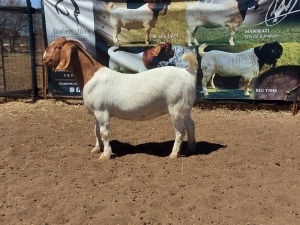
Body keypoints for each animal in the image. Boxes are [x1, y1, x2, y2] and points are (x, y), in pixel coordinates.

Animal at [42, 37, 197, 160]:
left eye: (58, 47)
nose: (44, 59)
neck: (91, 75)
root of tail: (188, 73)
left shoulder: (102, 111)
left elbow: (104, 133)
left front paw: (105, 155)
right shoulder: (96, 112)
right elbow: (96, 131)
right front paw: (96, 149)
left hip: (176, 106)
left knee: (180, 131)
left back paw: (173, 154)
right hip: (185, 108)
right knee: (191, 125)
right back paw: (191, 148)